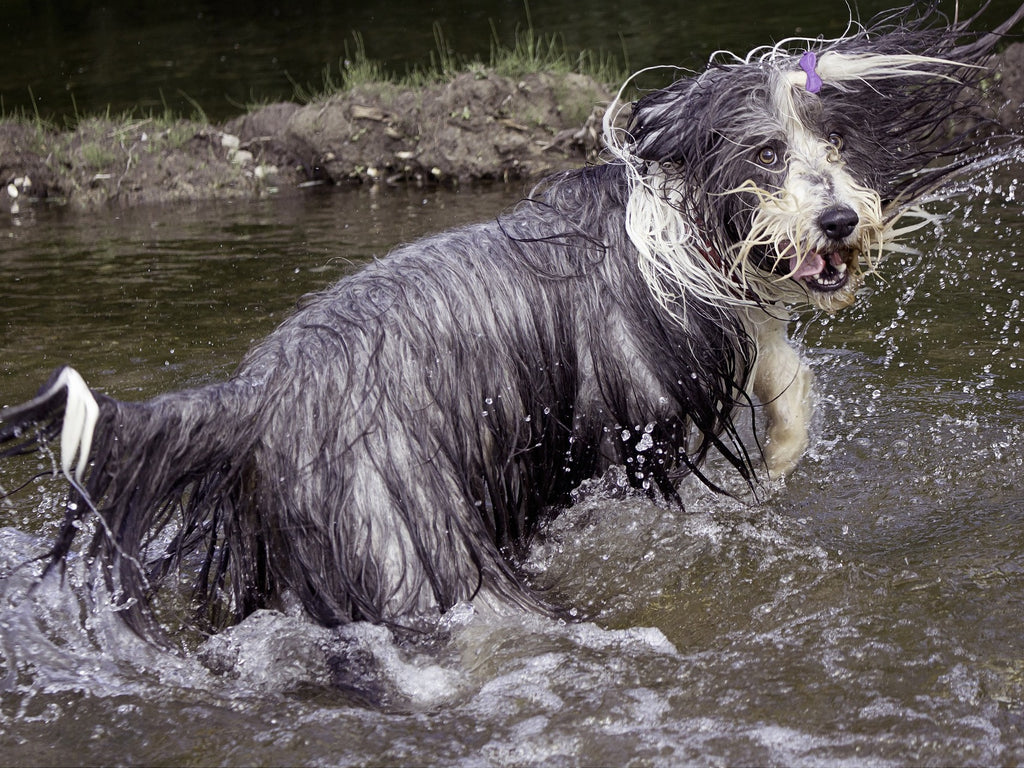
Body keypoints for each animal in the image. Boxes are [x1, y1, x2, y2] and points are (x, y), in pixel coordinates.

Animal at [2, 7, 1024, 638]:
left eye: (836, 141)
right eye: (767, 155)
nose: (843, 220)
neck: (669, 218)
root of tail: (253, 397)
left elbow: (781, 360)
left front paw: (781, 447)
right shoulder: (640, 403)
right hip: (405, 535)